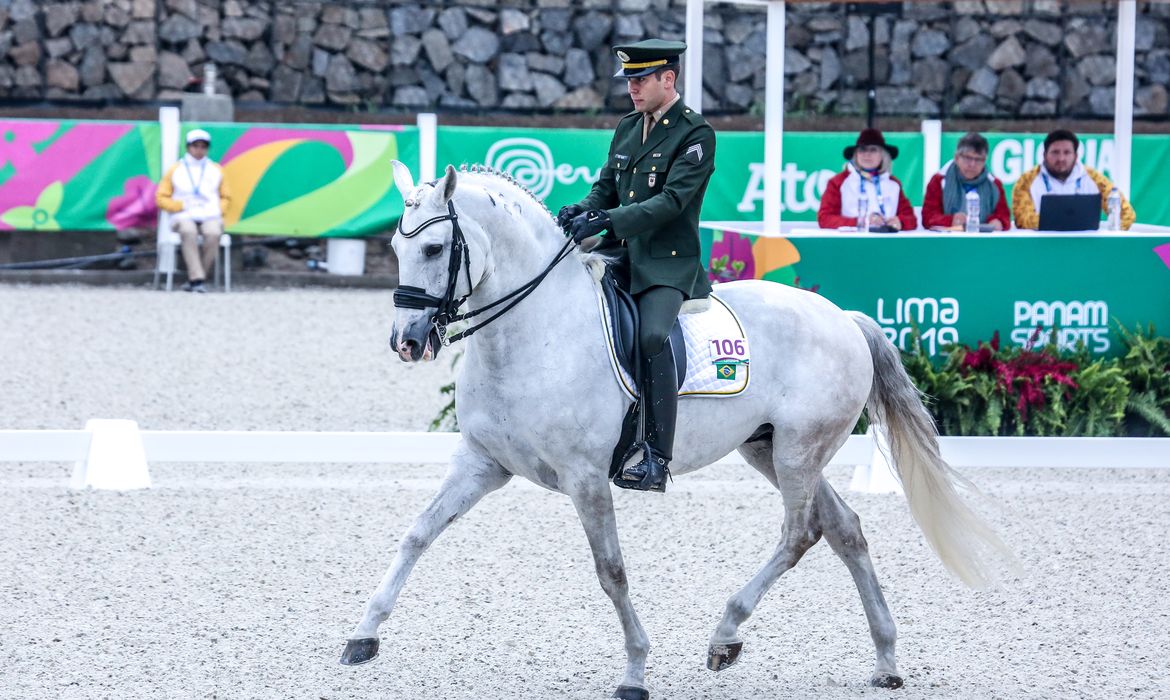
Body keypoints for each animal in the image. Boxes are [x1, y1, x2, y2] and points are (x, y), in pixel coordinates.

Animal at [339, 161, 1015, 697]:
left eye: (433, 250)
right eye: (395, 248)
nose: (408, 342)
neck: (535, 331)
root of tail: (845, 318)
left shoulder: (586, 478)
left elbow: (610, 570)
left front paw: (636, 671)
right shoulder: (483, 464)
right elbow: (417, 534)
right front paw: (363, 636)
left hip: (800, 450)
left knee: (800, 533)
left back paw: (725, 636)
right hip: (770, 449)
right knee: (843, 528)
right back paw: (886, 660)